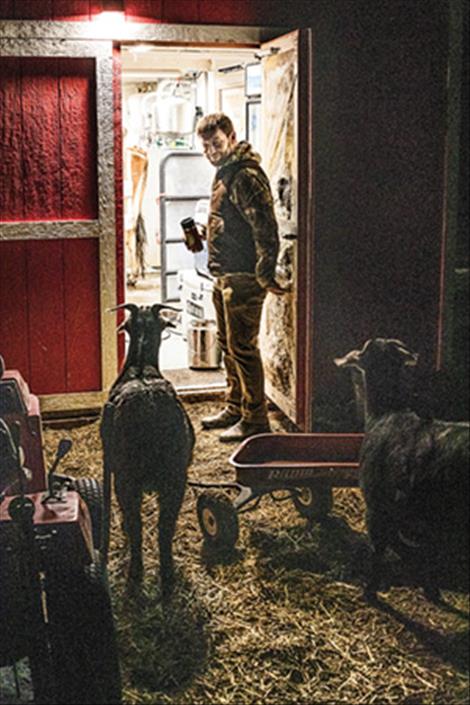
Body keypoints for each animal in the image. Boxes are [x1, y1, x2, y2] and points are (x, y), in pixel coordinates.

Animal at [100, 300, 194, 596]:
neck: (141, 367)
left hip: (127, 478)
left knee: (137, 525)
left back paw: (135, 574)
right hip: (176, 477)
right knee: (165, 527)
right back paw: (167, 576)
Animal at [336, 336, 468, 600]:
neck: (385, 413)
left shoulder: (376, 505)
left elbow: (379, 548)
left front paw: (369, 592)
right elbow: (427, 552)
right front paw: (431, 590)